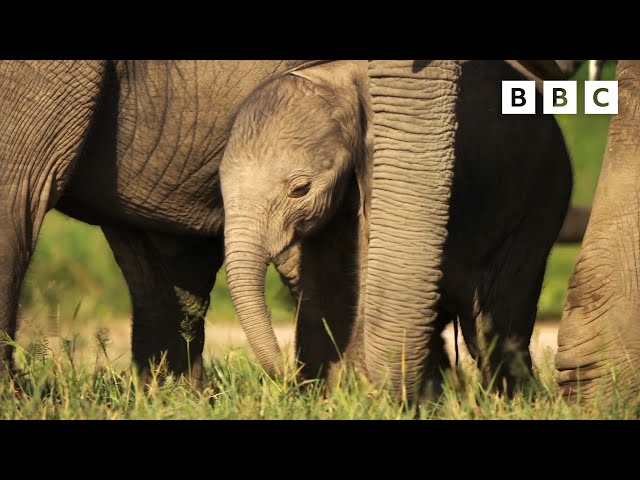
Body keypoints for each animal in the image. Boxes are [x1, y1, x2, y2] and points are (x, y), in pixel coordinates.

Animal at [220, 59, 568, 394]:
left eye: (300, 189)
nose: (284, 375)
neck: (334, 80)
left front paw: (359, 395)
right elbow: (323, 280)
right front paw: (324, 395)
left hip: (540, 201)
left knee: (492, 318)